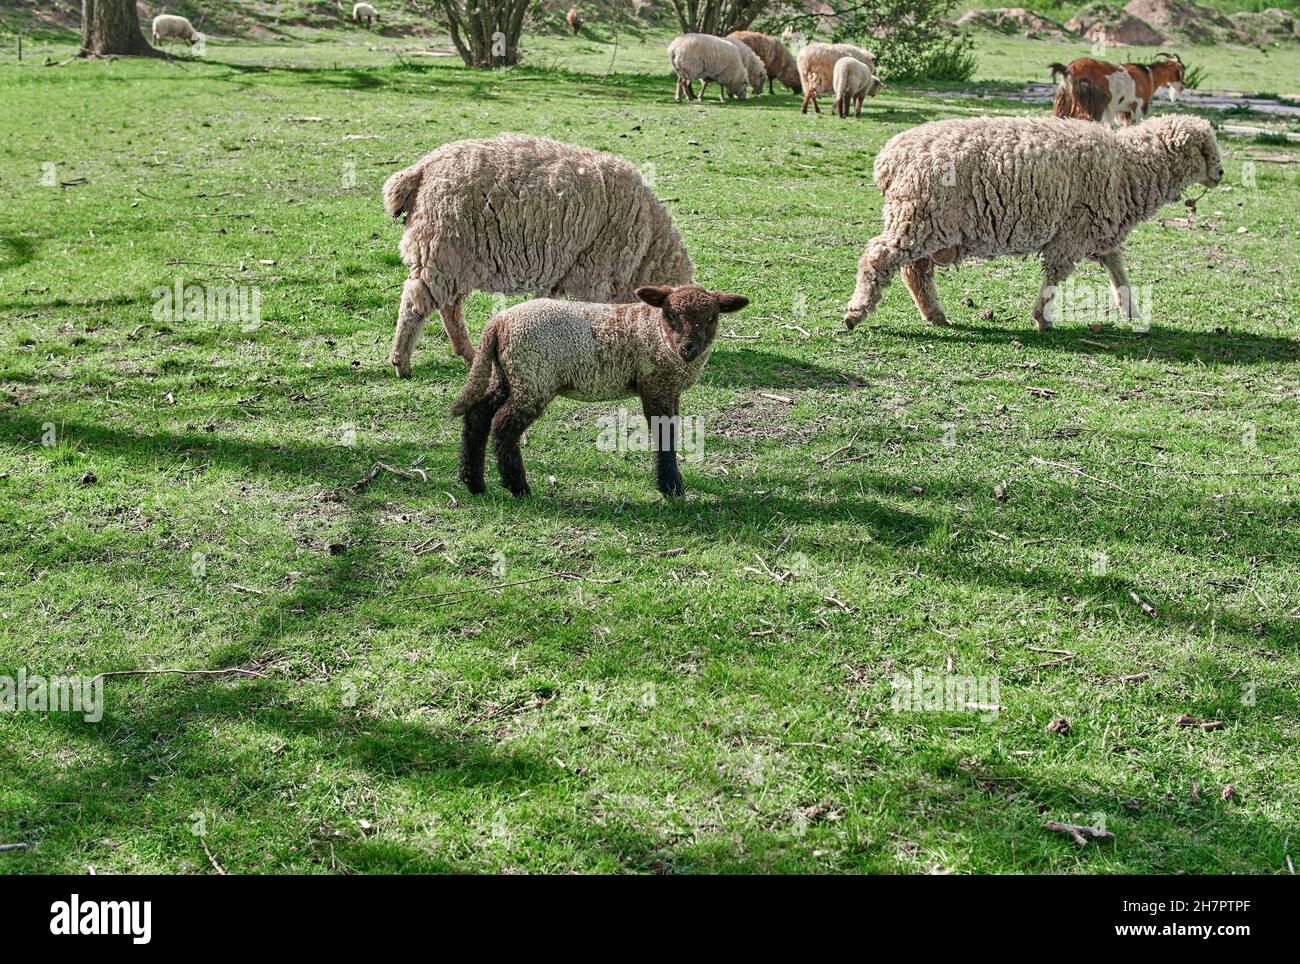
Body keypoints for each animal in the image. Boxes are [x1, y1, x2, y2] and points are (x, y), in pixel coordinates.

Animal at [382, 134, 694, 376]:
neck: (647, 245)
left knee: (449, 307)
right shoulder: (594, 272)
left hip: (456, 259)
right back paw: (402, 362)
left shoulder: (564, 271)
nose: (685, 357)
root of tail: (423, 168)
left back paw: (467, 354)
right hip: (440, 249)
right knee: (415, 301)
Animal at [451, 284, 749, 498]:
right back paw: (517, 487)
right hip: (534, 378)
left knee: (478, 416)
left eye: (711, 318)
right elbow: (664, 436)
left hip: (508, 375)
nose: (688, 349)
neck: (655, 332)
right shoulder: (656, 385)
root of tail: (498, 323)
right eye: (670, 315)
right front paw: (671, 488)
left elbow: (672, 433)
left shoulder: (670, 389)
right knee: (503, 425)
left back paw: (473, 482)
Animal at [841, 115, 1223, 333]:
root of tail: (889, 159)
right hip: (917, 215)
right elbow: (1054, 278)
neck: (1129, 166)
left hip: (926, 221)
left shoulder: (1102, 235)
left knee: (915, 270)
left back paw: (935, 315)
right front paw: (1042, 318)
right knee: (879, 256)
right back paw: (855, 314)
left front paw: (1131, 312)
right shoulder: (1073, 232)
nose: (1220, 172)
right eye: (1204, 149)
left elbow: (1120, 275)